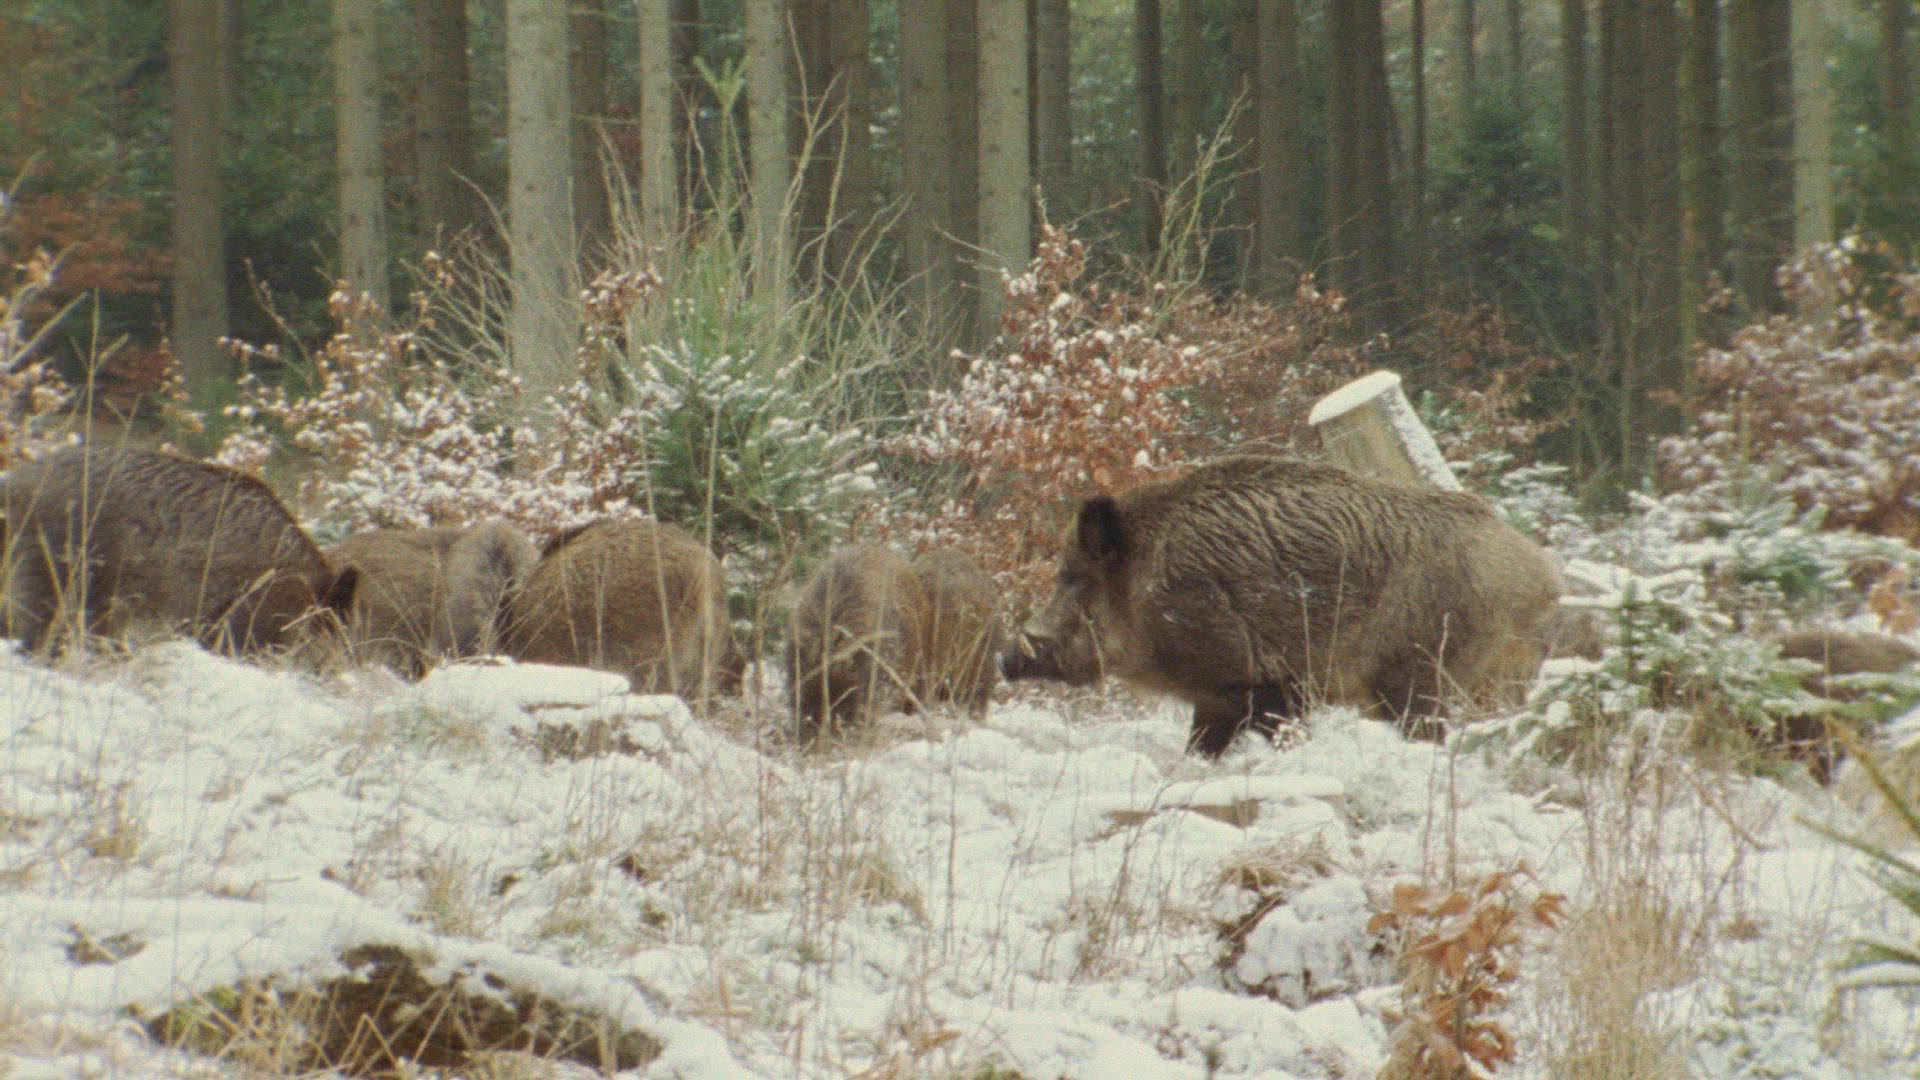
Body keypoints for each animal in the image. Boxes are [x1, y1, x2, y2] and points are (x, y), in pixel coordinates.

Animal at [998, 456, 1564, 757]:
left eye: (1073, 578)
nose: (1005, 658)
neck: (1147, 588)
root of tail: (1542, 572)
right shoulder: (1216, 698)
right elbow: (1199, 748)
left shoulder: (1262, 682)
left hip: (1420, 675)